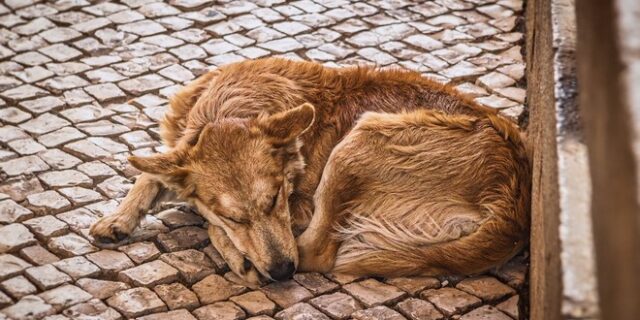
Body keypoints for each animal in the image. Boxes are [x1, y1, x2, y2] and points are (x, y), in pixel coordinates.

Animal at [89, 57, 528, 282]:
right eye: (237, 216)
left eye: (276, 199)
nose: (283, 273)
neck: (232, 106)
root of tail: (514, 210)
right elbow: (151, 171)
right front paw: (118, 219)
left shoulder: (300, 208)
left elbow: (201, 213)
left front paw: (231, 245)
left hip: (358, 142)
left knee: (316, 253)